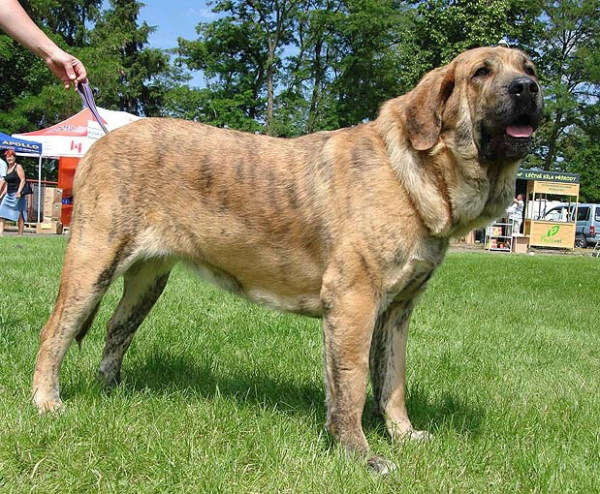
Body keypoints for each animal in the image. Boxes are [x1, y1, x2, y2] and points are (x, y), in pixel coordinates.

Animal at [36, 47, 544, 474]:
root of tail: (102, 140)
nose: (527, 88)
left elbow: (392, 381)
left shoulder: (397, 311)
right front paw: (359, 454)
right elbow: (352, 381)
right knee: (54, 333)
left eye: (530, 68)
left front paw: (404, 435)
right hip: (93, 261)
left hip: (148, 279)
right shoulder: (354, 301)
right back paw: (46, 402)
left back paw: (111, 392)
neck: (417, 172)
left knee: (116, 329)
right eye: (481, 72)